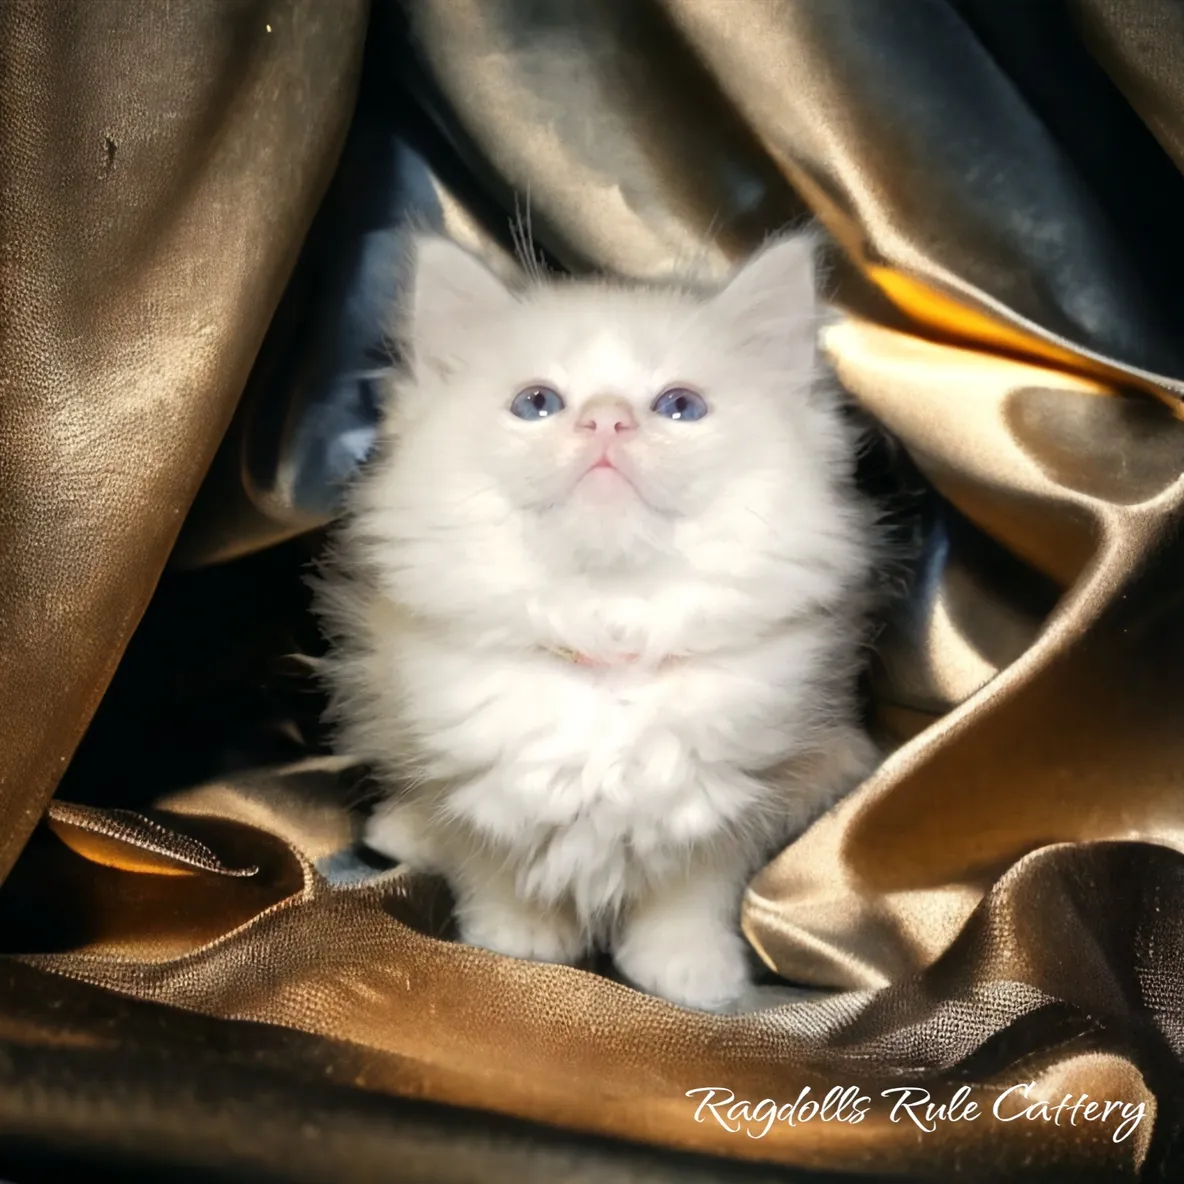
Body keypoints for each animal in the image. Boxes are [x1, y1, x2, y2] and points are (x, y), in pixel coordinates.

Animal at [314, 230, 880, 1008]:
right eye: (537, 403)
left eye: (679, 407)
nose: (606, 419)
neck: (606, 633)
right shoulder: (470, 783)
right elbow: (489, 865)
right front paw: (513, 941)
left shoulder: (743, 796)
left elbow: (692, 892)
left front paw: (691, 974)